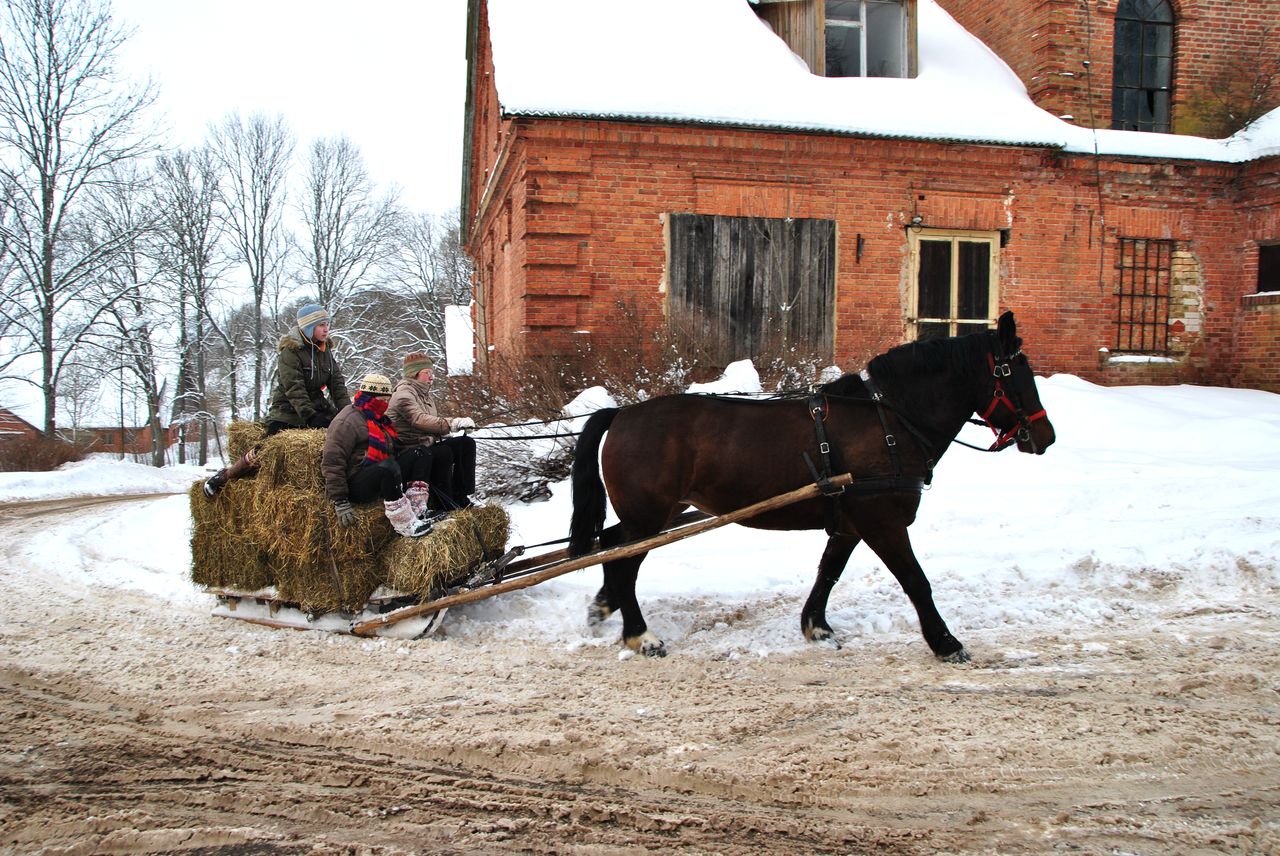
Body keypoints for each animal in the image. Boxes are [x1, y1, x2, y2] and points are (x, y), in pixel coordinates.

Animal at [568, 310, 1049, 660]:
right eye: (1016, 372)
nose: (1046, 437)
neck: (888, 422)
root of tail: (622, 413)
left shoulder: (851, 523)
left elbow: (829, 572)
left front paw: (816, 627)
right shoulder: (883, 522)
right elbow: (915, 581)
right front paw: (946, 643)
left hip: (655, 513)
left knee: (611, 545)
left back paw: (604, 606)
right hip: (649, 516)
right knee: (624, 563)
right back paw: (640, 635)